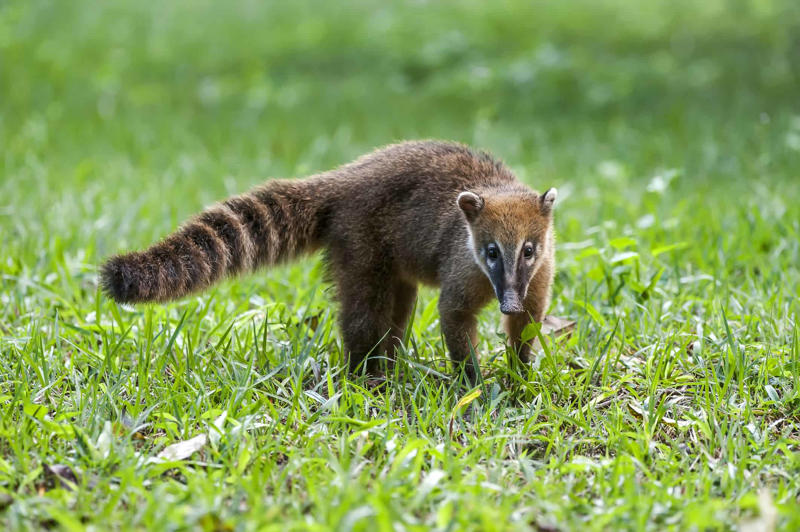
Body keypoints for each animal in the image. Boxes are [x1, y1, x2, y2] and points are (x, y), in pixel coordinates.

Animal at [100, 140, 557, 380]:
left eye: (528, 249)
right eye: (491, 252)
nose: (507, 303)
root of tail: (343, 179)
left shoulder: (540, 272)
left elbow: (530, 318)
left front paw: (519, 369)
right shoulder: (462, 263)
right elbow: (455, 314)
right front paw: (474, 380)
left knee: (398, 308)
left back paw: (388, 365)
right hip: (359, 241)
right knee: (365, 313)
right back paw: (367, 374)